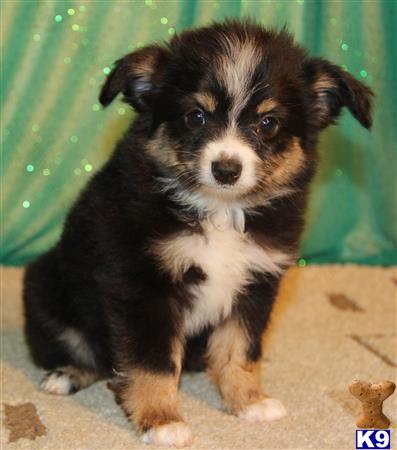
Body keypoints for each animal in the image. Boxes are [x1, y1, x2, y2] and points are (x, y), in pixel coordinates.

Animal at [24, 20, 372, 446]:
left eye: (268, 123)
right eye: (195, 116)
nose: (226, 169)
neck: (219, 211)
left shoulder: (256, 282)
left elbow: (241, 349)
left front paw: (248, 401)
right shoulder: (142, 284)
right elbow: (152, 362)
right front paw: (161, 420)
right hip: (45, 286)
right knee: (91, 353)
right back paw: (67, 375)